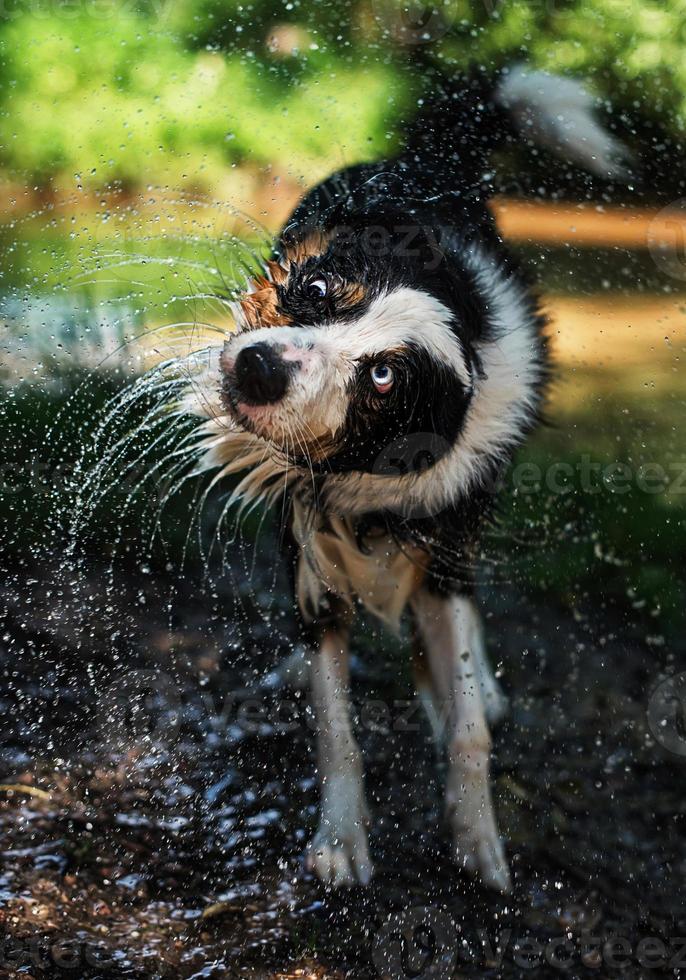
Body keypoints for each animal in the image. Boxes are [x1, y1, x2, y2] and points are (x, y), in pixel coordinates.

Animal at [187, 59, 628, 888]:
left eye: (384, 376)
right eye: (316, 292)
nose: (258, 367)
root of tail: (433, 154)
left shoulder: (448, 521)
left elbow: (465, 721)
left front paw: (477, 836)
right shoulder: (311, 538)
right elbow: (335, 722)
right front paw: (340, 839)